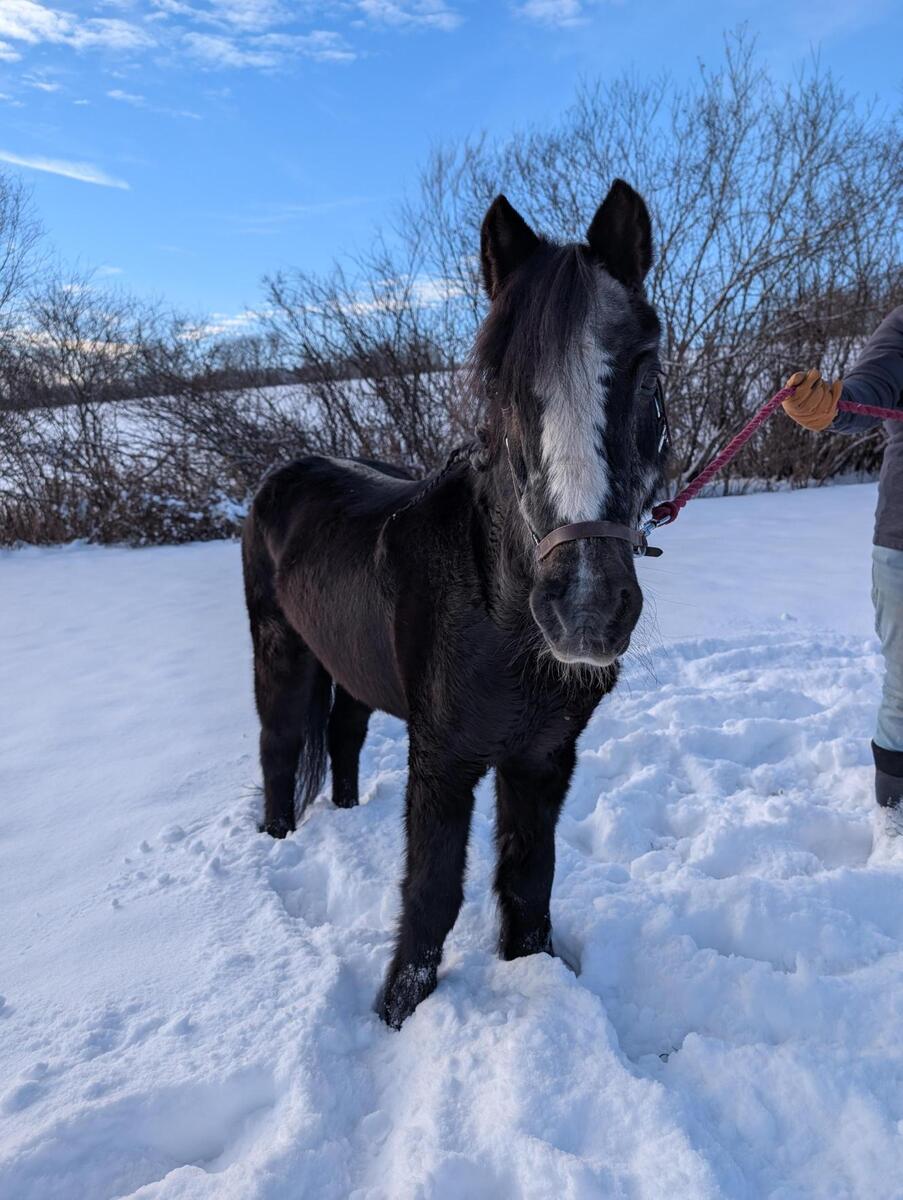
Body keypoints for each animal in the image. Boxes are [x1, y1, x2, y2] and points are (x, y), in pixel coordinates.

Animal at [241, 179, 669, 1028]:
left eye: (643, 372)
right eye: (499, 385)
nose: (585, 608)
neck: (495, 617)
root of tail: (283, 473)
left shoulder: (543, 756)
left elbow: (528, 883)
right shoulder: (443, 760)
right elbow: (431, 895)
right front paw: (395, 1015)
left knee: (341, 733)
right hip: (280, 651)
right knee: (280, 747)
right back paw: (278, 842)